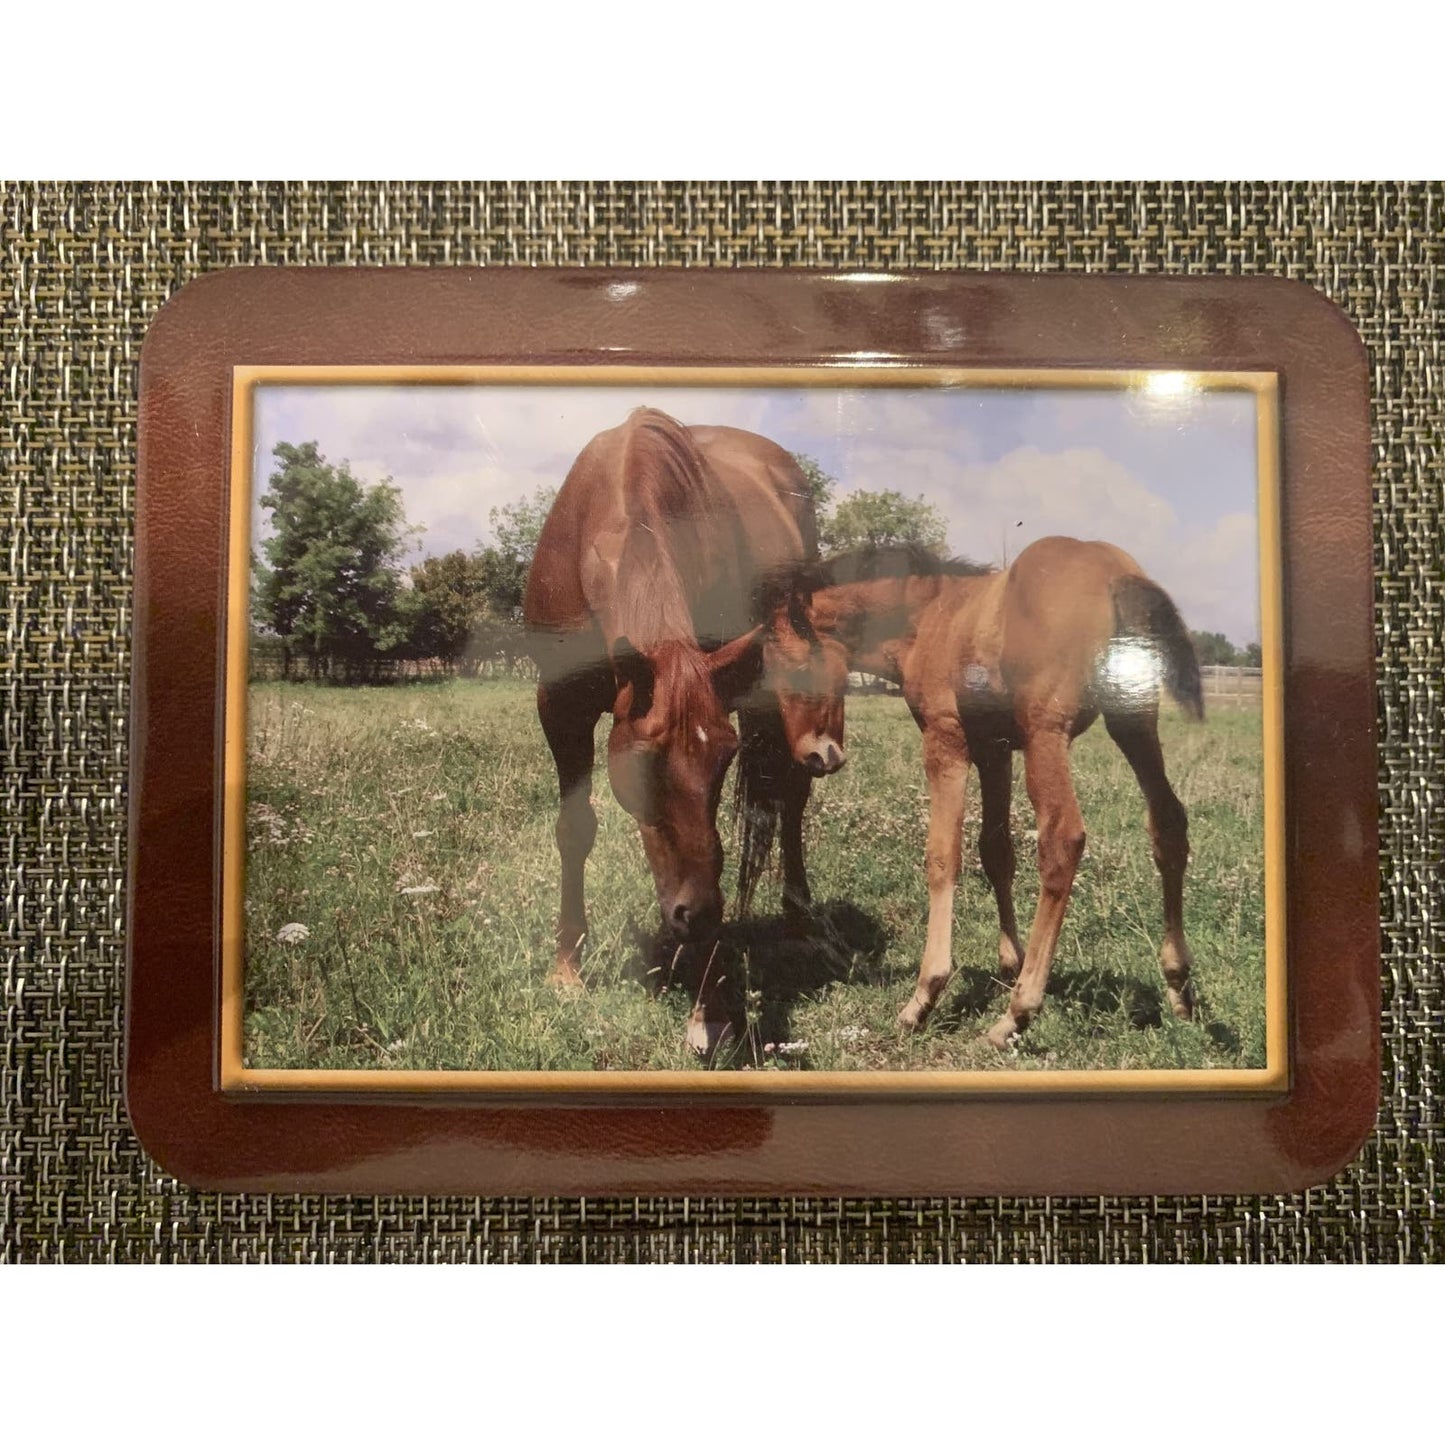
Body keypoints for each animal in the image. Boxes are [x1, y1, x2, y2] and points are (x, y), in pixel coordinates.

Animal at [528, 407, 838, 1051]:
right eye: (643, 762)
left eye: (724, 757)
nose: (698, 916)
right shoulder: (560, 709)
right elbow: (575, 829)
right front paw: (567, 966)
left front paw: (710, 1006)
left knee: (790, 798)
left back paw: (800, 920)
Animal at [768, 540, 1208, 1051]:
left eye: (791, 667)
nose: (814, 757)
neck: (930, 616)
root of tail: (1115, 572)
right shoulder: (995, 750)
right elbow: (996, 852)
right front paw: (1008, 963)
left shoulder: (947, 741)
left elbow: (943, 856)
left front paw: (925, 995)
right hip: (1134, 721)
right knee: (1169, 823)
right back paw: (1178, 988)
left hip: (1046, 735)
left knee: (1063, 840)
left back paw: (1016, 1014)